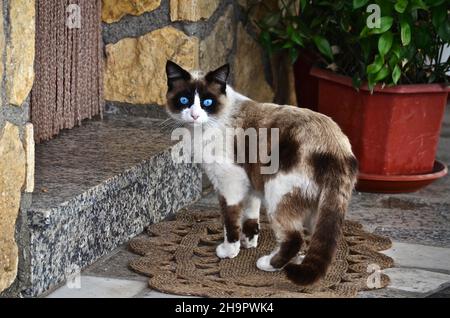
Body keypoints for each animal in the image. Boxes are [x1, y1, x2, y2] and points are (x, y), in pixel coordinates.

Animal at [163, 60, 356, 286]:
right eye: (184, 100)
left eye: (207, 102)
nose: (194, 115)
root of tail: (337, 147)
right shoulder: (251, 183)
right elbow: (250, 215)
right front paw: (249, 241)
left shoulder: (230, 183)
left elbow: (230, 221)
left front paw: (229, 251)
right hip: (317, 204)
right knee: (313, 236)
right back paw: (298, 260)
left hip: (276, 194)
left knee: (294, 238)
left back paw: (270, 264)